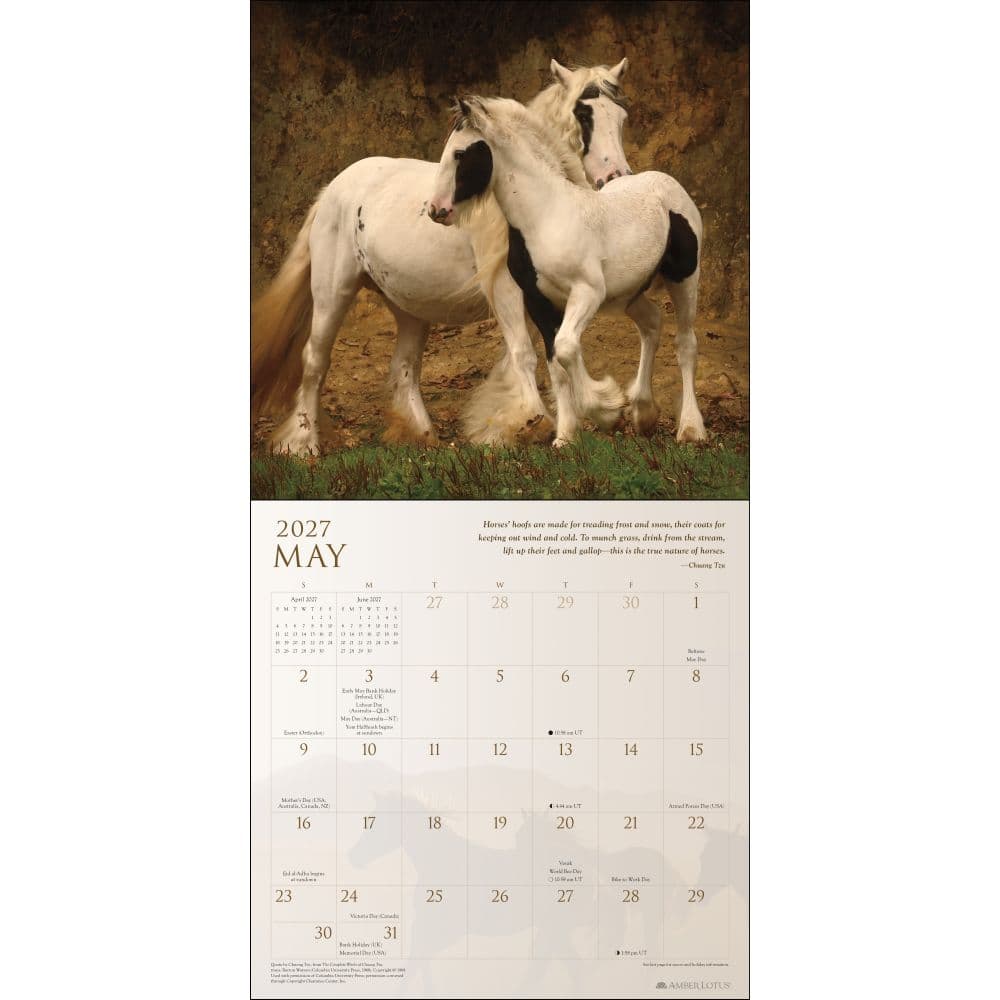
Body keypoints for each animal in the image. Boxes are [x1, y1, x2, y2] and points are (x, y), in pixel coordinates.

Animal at [251, 59, 632, 455]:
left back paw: (421, 435)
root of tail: (330, 191)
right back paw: (303, 444)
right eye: (583, 114)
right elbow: (525, 353)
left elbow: (556, 353)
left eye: (621, 115)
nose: (616, 176)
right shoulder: (506, 289)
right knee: (314, 361)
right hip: (332, 293)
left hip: (409, 309)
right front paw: (526, 424)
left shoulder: (546, 296)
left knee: (403, 367)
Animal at [429, 94, 708, 446]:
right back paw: (643, 412)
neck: (545, 215)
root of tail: (669, 184)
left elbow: (565, 347)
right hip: (628, 294)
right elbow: (555, 365)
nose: (436, 210)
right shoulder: (539, 301)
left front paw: (606, 409)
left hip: (684, 278)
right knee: (652, 323)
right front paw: (565, 436)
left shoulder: (587, 292)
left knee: (686, 344)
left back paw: (691, 428)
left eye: (460, 153)